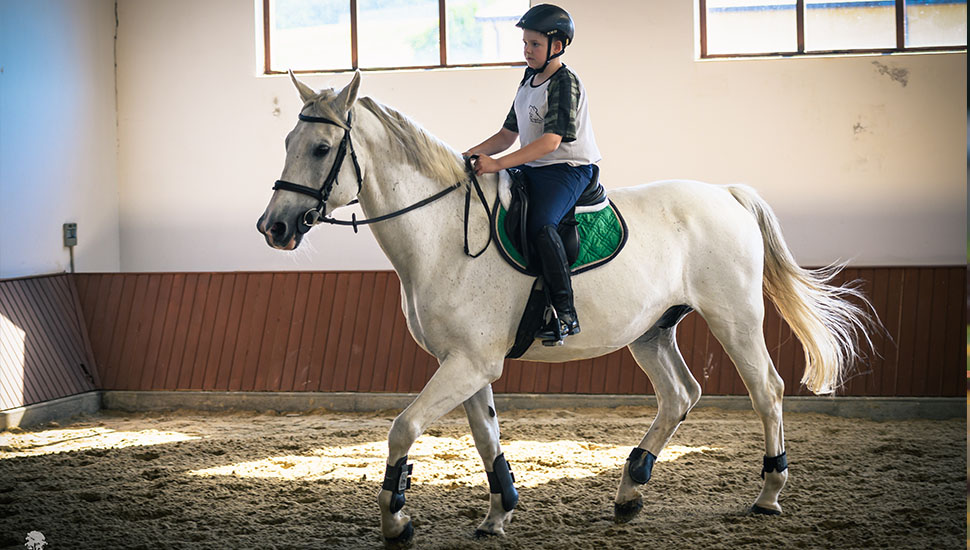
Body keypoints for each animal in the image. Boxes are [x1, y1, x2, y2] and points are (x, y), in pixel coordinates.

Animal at [255, 73, 868, 548]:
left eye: (320, 149)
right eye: (286, 139)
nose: (274, 227)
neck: (443, 235)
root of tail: (726, 193)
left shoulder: (469, 363)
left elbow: (402, 430)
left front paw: (396, 521)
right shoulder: (467, 363)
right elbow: (486, 439)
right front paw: (498, 513)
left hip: (734, 318)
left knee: (766, 390)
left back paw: (767, 494)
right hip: (652, 330)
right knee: (680, 394)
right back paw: (630, 490)